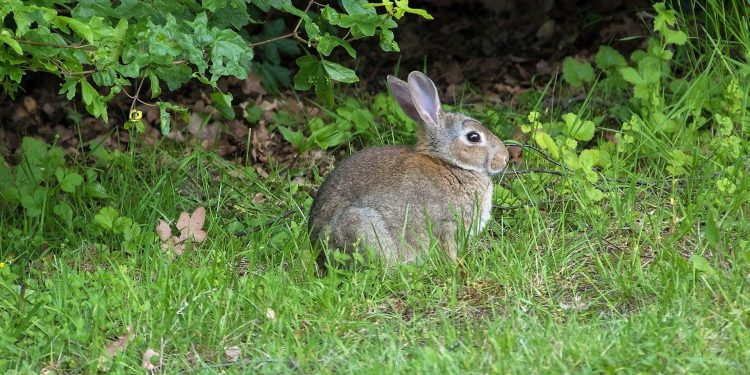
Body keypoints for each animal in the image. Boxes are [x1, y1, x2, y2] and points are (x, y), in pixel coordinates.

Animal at [306, 70, 512, 264]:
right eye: (473, 137)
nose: (505, 158)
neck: (451, 165)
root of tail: (315, 243)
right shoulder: (447, 226)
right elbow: (449, 248)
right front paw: (457, 264)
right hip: (361, 226)